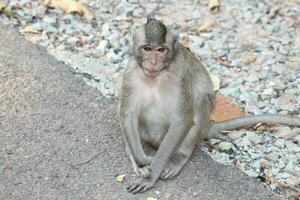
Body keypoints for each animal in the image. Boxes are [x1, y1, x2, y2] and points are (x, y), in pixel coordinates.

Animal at [118, 17, 300, 194]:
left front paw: (151, 175)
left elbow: (181, 120)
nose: (153, 62)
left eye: (161, 50)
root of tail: (207, 127)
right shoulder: (131, 71)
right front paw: (142, 161)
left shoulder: (179, 73)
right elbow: (128, 115)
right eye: (147, 49)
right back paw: (137, 160)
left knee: (200, 101)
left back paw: (178, 158)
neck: (156, 76)